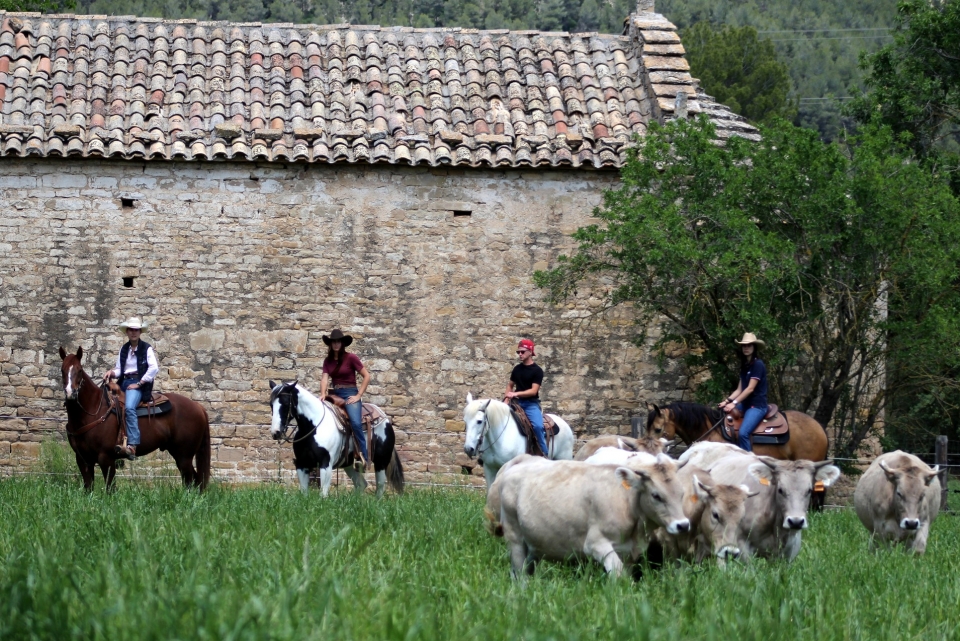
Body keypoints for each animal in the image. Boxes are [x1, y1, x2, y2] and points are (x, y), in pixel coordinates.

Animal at [58, 346, 211, 491]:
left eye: (79, 370)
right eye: (62, 370)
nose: (71, 393)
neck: (93, 410)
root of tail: (198, 406)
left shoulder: (106, 458)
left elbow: (110, 489)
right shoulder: (83, 459)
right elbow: (88, 488)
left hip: (184, 455)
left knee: (190, 480)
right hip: (178, 453)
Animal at [268, 381, 404, 497]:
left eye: (286, 403)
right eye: (271, 404)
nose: (276, 432)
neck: (314, 426)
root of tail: (385, 418)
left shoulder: (326, 464)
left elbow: (323, 494)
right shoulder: (301, 464)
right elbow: (304, 494)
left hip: (381, 461)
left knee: (380, 486)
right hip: (348, 464)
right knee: (361, 484)